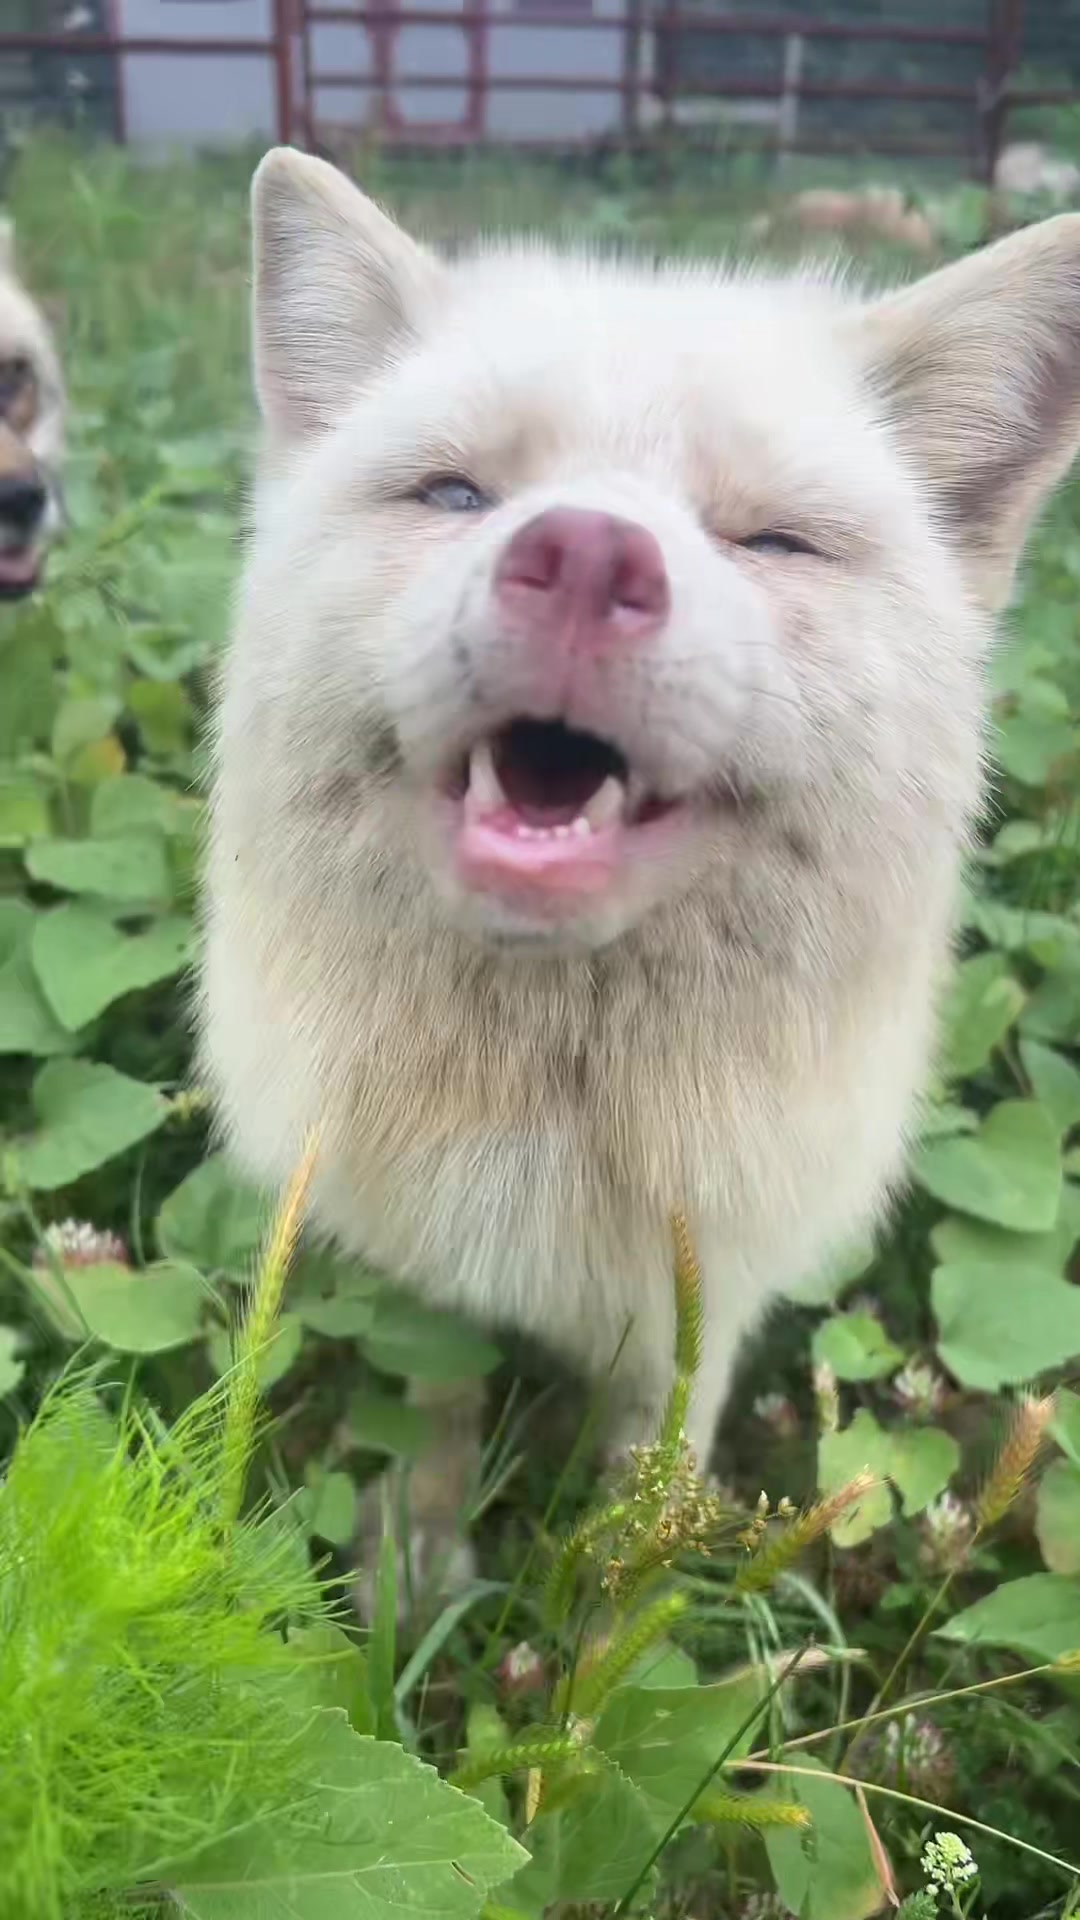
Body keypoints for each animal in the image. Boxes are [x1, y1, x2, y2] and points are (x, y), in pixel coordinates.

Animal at [202, 147, 1080, 1595]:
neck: (548, 1117)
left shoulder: (705, 1287)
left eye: (771, 541)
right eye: (455, 495)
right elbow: (435, 1420)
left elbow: (645, 1490)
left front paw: (612, 1613)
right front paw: (420, 1573)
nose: (585, 559)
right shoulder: (422, 1269)